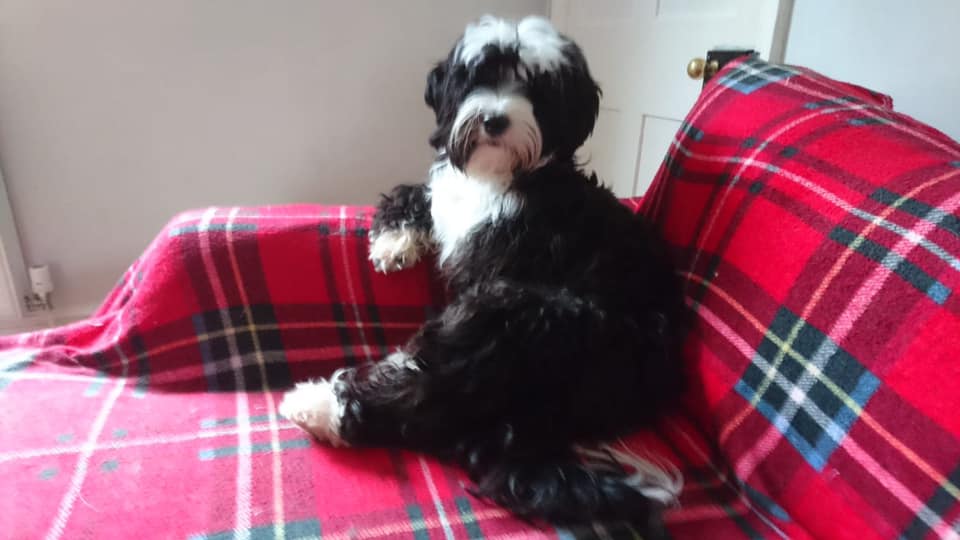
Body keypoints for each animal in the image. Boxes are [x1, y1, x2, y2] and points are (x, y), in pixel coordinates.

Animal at [279, 15, 687, 527]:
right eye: (478, 76)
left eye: (537, 86)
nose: (494, 119)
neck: (498, 174)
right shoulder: (447, 201)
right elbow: (416, 193)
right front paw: (394, 244)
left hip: (513, 315)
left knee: (426, 398)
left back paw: (321, 406)